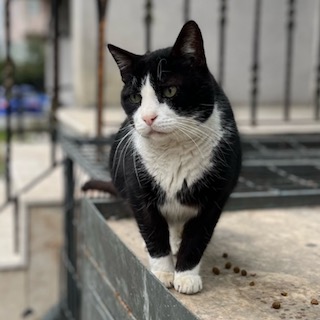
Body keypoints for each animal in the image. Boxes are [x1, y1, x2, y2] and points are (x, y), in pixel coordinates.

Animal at [106, 20, 241, 296]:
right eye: (135, 97)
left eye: (170, 90)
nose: (148, 118)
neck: (173, 150)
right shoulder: (139, 191)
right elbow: (153, 232)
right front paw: (163, 272)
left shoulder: (214, 199)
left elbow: (197, 236)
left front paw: (186, 276)